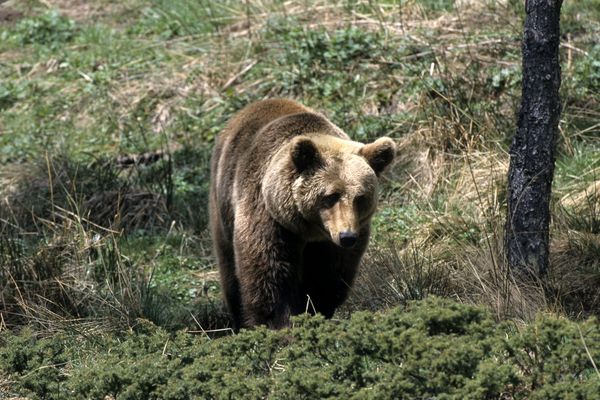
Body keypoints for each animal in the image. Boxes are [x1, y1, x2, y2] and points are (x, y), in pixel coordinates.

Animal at [209, 98, 396, 330]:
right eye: (330, 196)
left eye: (361, 197)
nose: (347, 236)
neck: (309, 230)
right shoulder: (269, 217)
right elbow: (269, 274)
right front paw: (279, 322)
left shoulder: (334, 244)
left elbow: (327, 278)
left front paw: (313, 311)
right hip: (223, 202)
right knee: (229, 268)